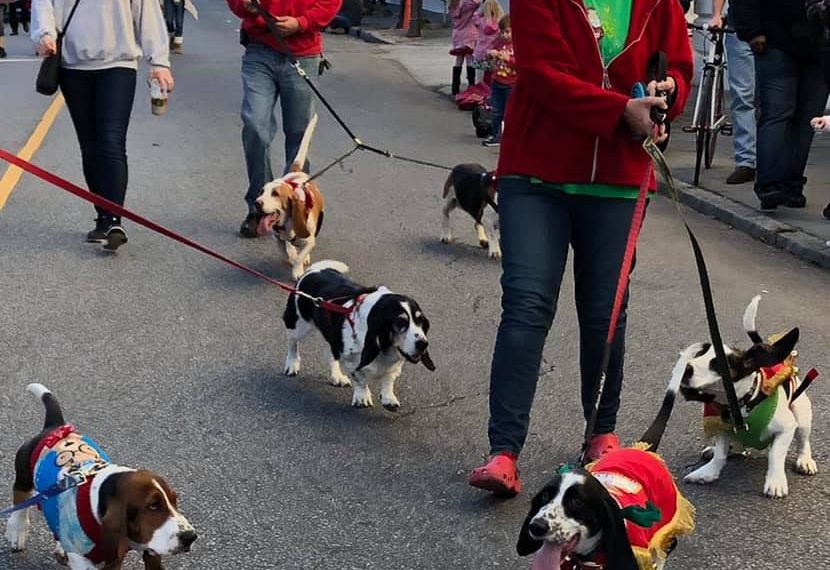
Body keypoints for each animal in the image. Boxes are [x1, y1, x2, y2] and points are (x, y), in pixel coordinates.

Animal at [5, 382, 197, 568]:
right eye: (153, 506)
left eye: (174, 500)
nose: (191, 536)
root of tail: (56, 427)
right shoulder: (81, 555)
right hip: (24, 474)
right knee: (20, 499)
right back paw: (17, 532)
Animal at [256, 112, 328, 278]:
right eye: (262, 191)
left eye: (275, 193)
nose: (257, 202)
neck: (287, 225)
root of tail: (298, 173)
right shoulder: (278, 238)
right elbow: (286, 249)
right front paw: (292, 256)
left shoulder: (309, 240)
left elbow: (301, 254)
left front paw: (297, 269)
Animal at [282, 260, 436, 410]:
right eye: (400, 321)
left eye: (420, 321)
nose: (423, 344)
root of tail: (313, 270)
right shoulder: (351, 360)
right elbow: (360, 379)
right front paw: (362, 397)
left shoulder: (394, 364)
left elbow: (388, 379)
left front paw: (388, 398)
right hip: (297, 325)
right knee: (292, 343)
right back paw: (292, 364)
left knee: (330, 355)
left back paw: (337, 376)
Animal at [684, 296, 820, 494]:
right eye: (698, 355)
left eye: (718, 364)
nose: (686, 369)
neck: (741, 404)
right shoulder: (721, 427)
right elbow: (720, 454)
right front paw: (709, 471)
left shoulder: (786, 428)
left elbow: (775, 454)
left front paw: (775, 481)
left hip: (801, 415)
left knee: (803, 442)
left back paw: (805, 460)